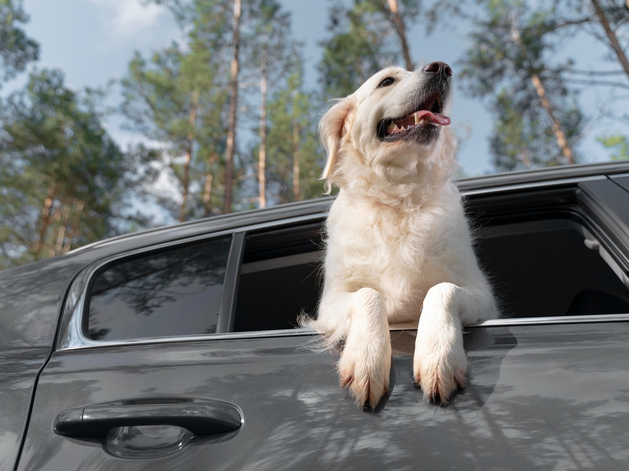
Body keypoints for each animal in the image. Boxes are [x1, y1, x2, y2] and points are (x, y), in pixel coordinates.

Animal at [306, 63, 500, 410]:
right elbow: (369, 295)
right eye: (386, 81)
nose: (441, 68)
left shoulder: (482, 295)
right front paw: (366, 358)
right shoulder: (330, 303)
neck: (398, 198)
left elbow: (442, 289)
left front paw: (438, 355)